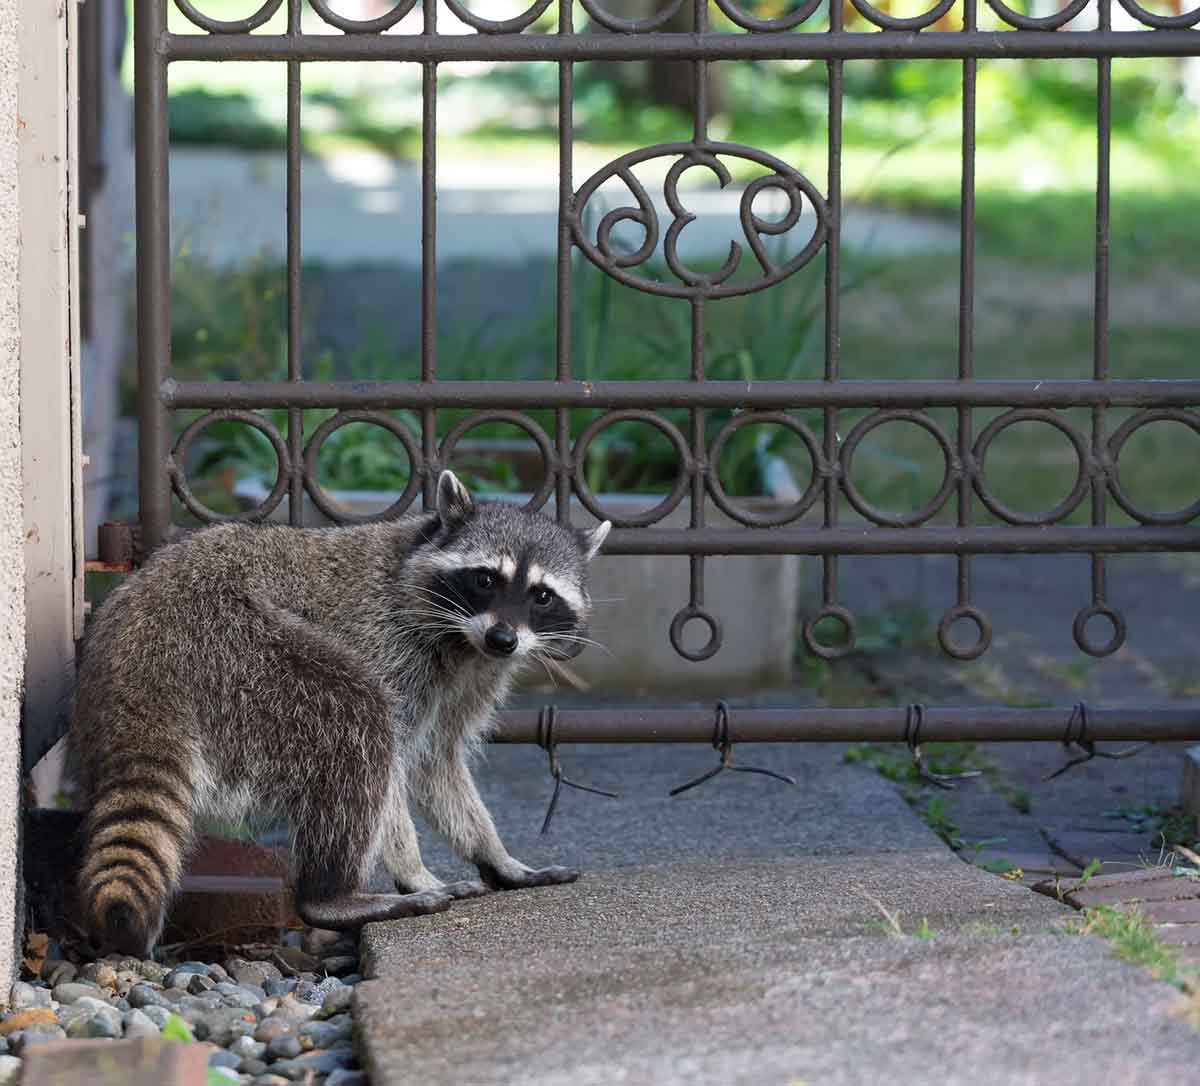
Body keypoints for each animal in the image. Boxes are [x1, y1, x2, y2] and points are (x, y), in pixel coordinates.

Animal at [70, 470, 609, 955]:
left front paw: (496, 855)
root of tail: (140, 662)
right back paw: (332, 896)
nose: (503, 638)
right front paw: (413, 870)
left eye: (542, 595)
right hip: (238, 650)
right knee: (356, 720)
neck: (461, 638)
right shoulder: (387, 643)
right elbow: (394, 770)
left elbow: (438, 764)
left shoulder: (470, 679)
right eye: (484, 579)